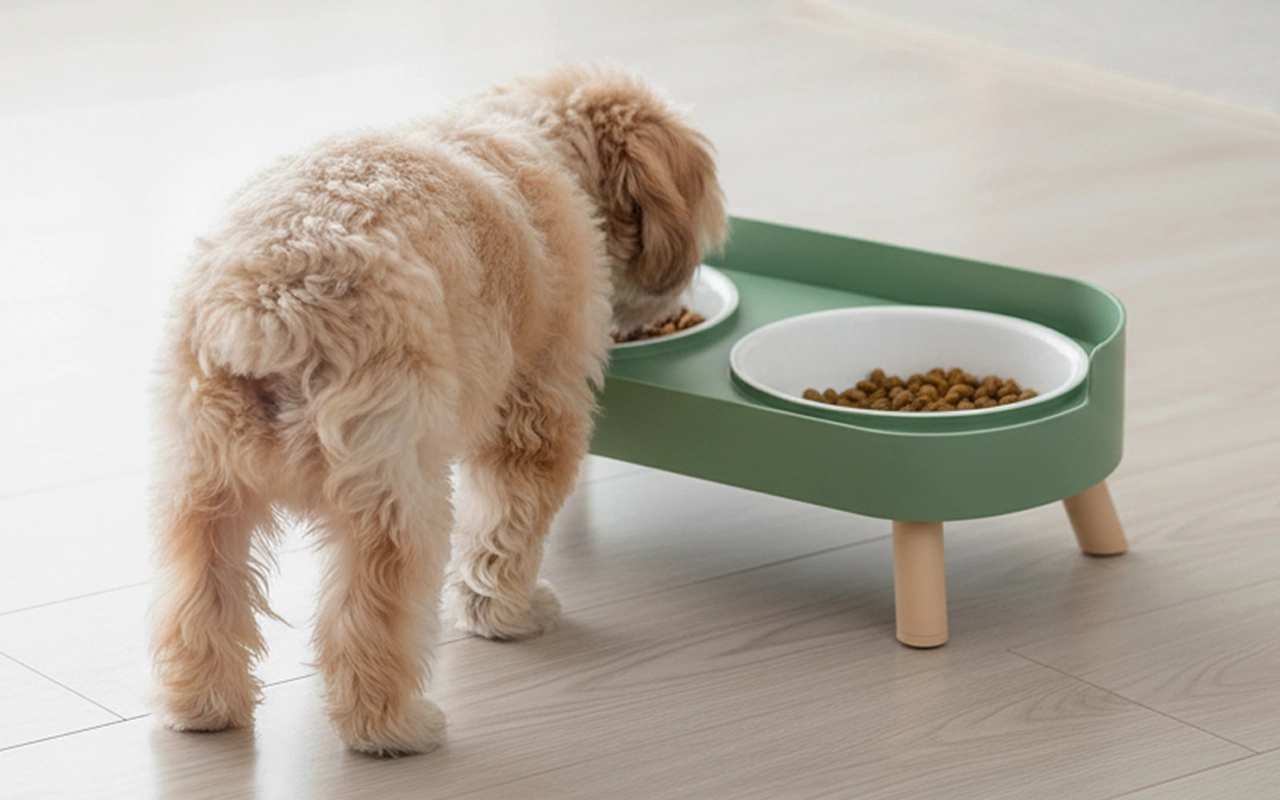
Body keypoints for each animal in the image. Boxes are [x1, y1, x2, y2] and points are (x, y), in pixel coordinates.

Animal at [149, 64, 726, 756]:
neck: (536, 134)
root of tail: (271, 301)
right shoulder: (536, 412)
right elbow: (505, 531)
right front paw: (507, 615)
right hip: (392, 496)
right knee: (368, 619)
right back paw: (392, 728)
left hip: (204, 487)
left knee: (199, 599)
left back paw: (203, 706)